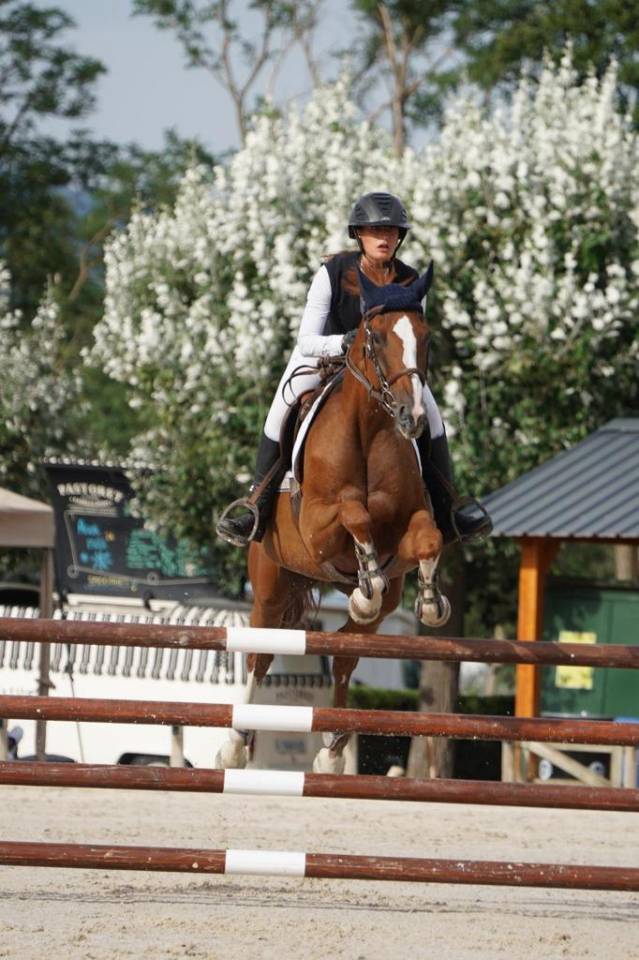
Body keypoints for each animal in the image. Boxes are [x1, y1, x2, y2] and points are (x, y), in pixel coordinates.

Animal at [216, 265, 451, 774]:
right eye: (376, 338)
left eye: (425, 337)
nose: (413, 418)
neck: (370, 429)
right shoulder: (317, 526)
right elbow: (353, 512)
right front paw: (367, 576)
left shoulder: (410, 526)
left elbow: (427, 540)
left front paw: (428, 600)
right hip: (271, 584)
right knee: (260, 654)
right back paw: (234, 744)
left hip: (373, 607)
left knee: (346, 653)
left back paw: (331, 751)